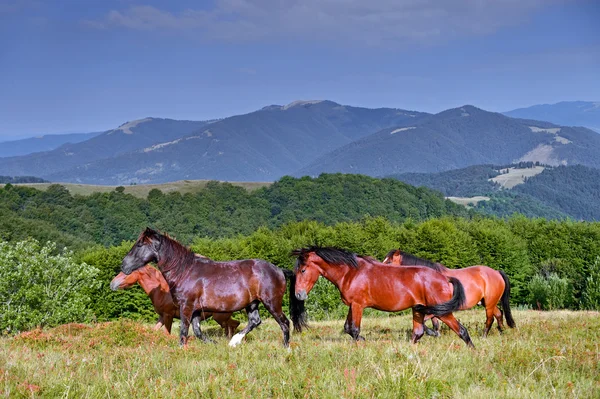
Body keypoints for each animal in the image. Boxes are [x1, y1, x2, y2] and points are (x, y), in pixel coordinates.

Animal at [109, 266, 240, 340]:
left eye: (127, 272)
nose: (112, 284)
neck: (162, 291)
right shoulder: (162, 316)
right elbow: (154, 330)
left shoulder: (168, 315)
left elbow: (167, 334)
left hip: (220, 317)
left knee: (233, 324)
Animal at [292, 245, 476, 348]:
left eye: (303, 270)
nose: (298, 295)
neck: (351, 273)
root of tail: (445, 278)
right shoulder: (352, 305)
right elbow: (348, 328)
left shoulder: (358, 305)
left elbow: (354, 329)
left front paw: (362, 342)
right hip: (418, 309)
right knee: (418, 333)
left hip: (442, 311)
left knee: (461, 331)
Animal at [384, 250, 516, 338]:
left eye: (389, 262)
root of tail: (496, 272)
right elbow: (434, 324)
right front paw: (436, 334)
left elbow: (426, 321)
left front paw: (432, 333)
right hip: (488, 302)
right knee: (499, 314)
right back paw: (502, 332)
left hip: (489, 303)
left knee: (490, 319)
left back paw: (484, 336)